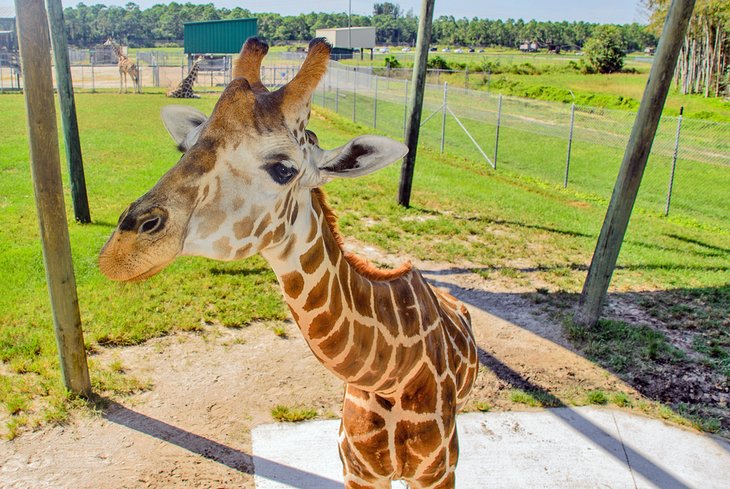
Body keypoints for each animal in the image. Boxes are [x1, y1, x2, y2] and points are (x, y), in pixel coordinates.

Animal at [98, 38, 478, 488]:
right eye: (184, 148)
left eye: (283, 169)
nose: (120, 252)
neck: (391, 379)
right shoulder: (358, 470)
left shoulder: (439, 472)